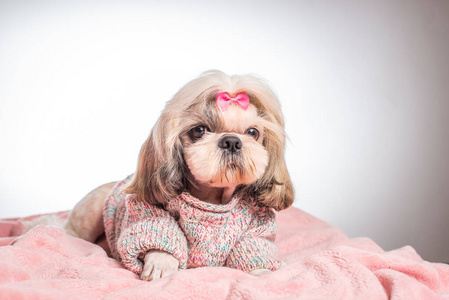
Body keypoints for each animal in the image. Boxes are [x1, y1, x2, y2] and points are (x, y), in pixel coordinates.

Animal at [59, 69, 292, 280]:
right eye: (198, 130)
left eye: (253, 132)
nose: (232, 141)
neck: (214, 199)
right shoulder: (147, 209)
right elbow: (160, 230)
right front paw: (162, 261)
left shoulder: (258, 225)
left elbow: (252, 247)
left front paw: (262, 273)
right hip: (91, 212)